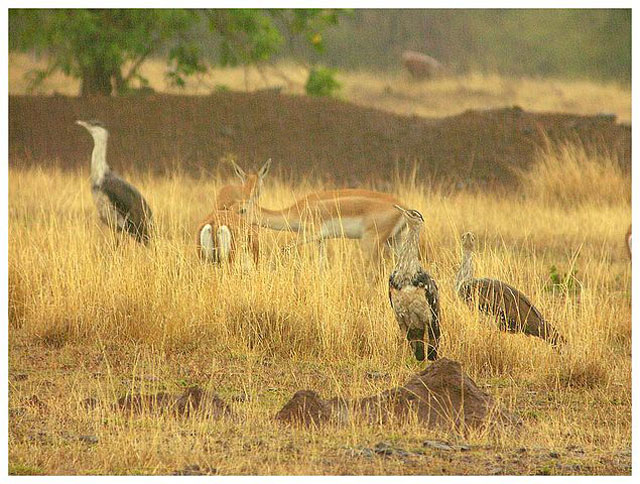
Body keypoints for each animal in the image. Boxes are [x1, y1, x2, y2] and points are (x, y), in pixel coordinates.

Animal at [238, 188, 428, 264]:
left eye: (242, 210)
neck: (297, 210)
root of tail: (403, 207)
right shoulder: (321, 240)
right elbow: (321, 263)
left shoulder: (312, 234)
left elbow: (284, 247)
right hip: (393, 241)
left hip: (370, 242)